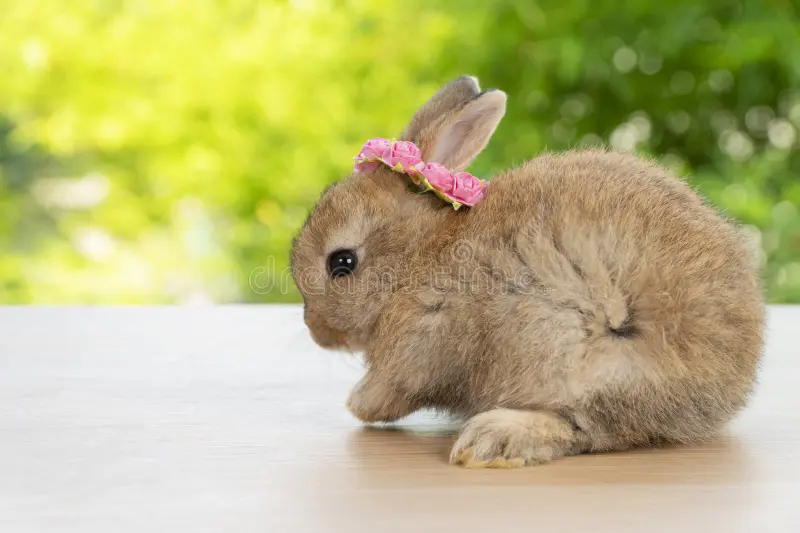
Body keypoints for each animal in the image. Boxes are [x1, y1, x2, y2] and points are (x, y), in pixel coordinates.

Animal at [290, 75, 764, 468]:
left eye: (342, 263)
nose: (315, 330)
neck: (417, 254)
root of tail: (730, 385)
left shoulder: (422, 342)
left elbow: (392, 390)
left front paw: (358, 403)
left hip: (586, 354)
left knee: (589, 428)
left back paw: (492, 440)